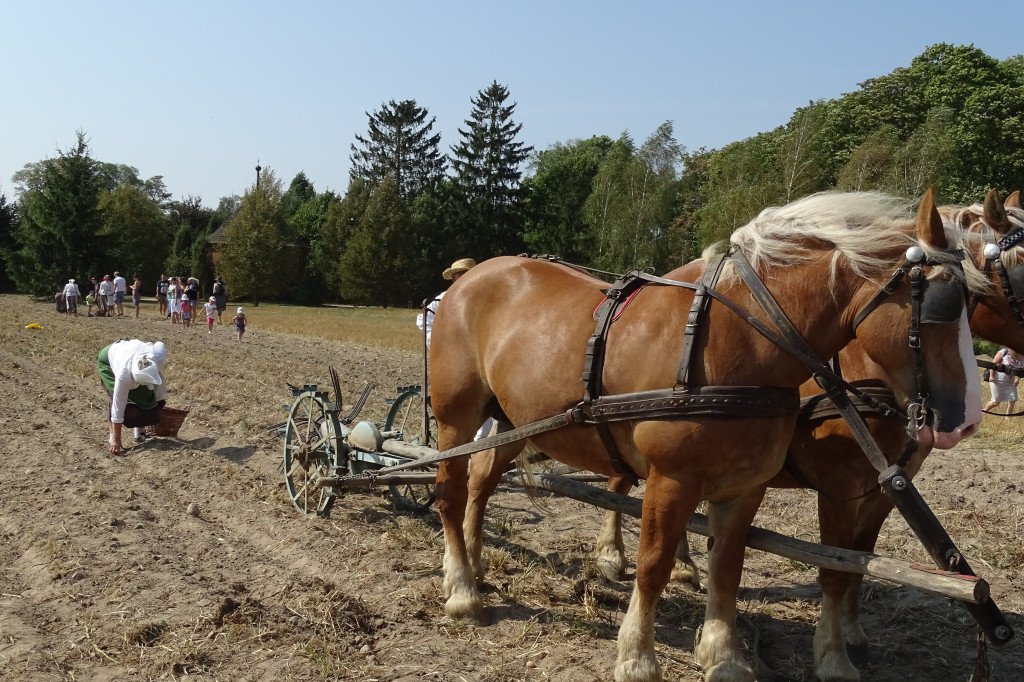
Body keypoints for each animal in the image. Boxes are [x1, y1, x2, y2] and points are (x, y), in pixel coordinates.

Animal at [428, 187, 978, 679]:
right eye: (944, 304)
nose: (969, 417)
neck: (736, 342)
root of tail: (471, 276)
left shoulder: (745, 486)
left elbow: (728, 567)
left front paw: (723, 656)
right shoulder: (674, 478)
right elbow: (653, 565)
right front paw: (637, 658)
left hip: (510, 422)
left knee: (481, 484)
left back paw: (475, 566)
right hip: (457, 418)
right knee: (451, 493)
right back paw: (461, 590)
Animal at [585, 187, 1024, 679]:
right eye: (947, 303)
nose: (965, 420)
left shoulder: (884, 488)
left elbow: (858, 561)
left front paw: (852, 634)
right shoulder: (839, 487)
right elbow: (834, 568)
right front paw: (833, 655)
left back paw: (682, 566)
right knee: (620, 484)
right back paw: (612, 555)